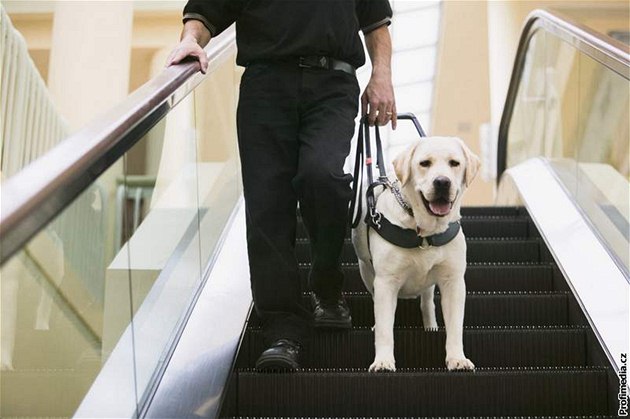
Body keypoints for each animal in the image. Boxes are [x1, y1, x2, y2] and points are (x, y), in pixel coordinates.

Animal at [354, 136, 482, 372]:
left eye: (454, 163)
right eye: (424, 163)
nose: (442, 182)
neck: (425, 232)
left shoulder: (454, 282)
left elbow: (455, 325)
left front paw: (457, 358)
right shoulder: (386, 281)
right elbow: (385, 327)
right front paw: (383, 360)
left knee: (427, 301)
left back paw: (430, 326)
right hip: (366, 269)